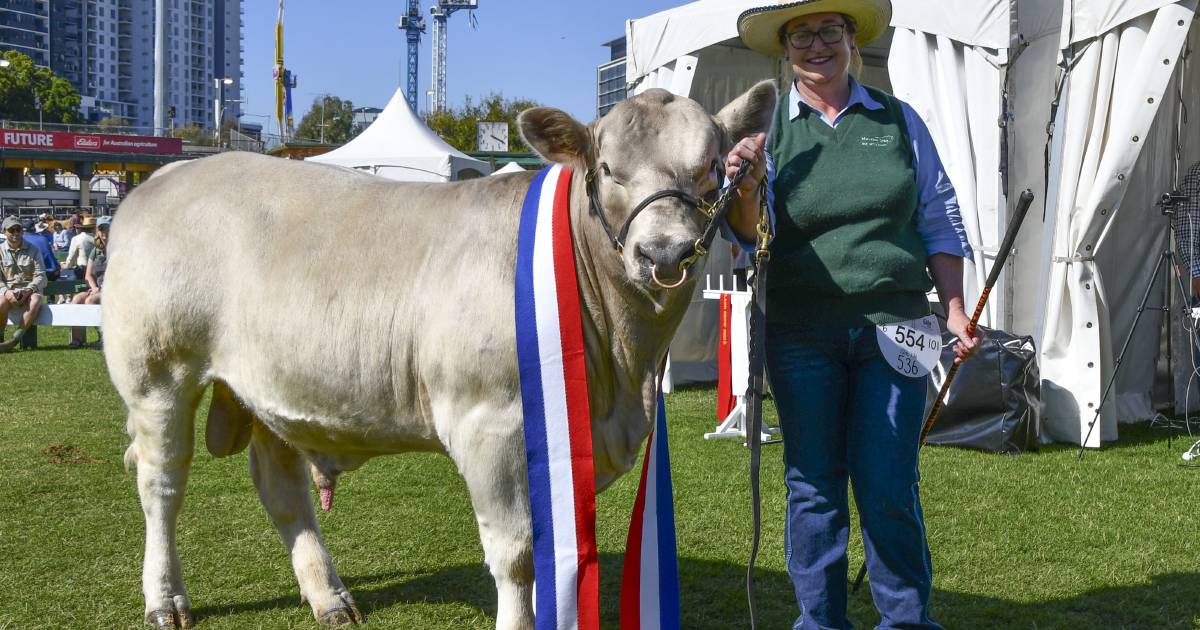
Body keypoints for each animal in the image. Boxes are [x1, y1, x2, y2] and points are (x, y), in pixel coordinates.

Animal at [105, 83, 777, 628]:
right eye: (607, 168)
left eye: (711, 167)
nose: (665, 254)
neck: (622, 371)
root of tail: (163, 178)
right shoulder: (491, 423)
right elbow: (518, 553)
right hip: (156, 375)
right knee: (161, 484)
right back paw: (165, 600)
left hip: (269, 387)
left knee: (281, 487)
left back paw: (329, 598)